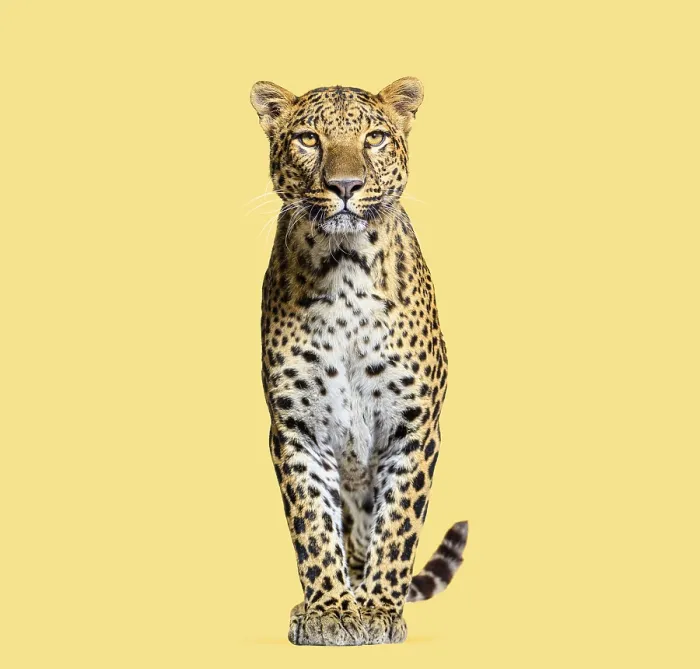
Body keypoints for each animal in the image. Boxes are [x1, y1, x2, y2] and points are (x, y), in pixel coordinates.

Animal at [250, 77, 468, 646]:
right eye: (308, 138)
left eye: (374, 138)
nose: (345, 185)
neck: (344, 268)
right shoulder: (296, 427)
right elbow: (311, 524)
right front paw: (330, 609)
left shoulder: (414, 426)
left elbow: (398, 525)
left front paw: (377, 609)